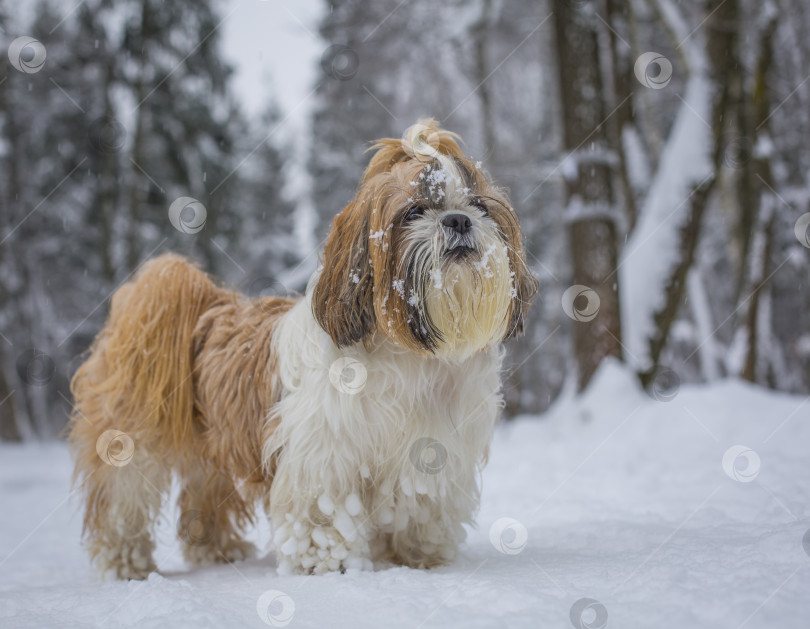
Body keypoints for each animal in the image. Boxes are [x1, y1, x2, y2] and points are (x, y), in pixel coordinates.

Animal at [69, 119, 536, 580]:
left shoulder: (434, 450)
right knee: (124, 497)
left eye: (479, 206)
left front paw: (420, 556)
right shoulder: (323, 451)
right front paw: (329, 564)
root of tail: (207, 304)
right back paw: (125, 561)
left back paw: (219, 550)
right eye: (414, 211)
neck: (410, 355)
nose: (458, 220)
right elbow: (324, 513)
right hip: (133, 437)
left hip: (212, 444)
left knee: (203, 495)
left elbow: (421, 506)